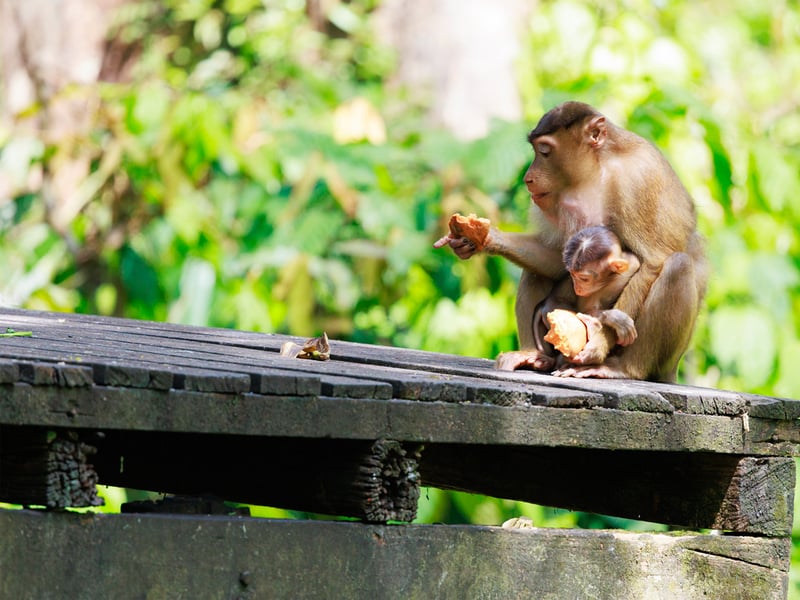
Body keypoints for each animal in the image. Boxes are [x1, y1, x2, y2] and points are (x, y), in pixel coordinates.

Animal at [435, 101, 707, 381]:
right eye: (536, 150)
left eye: (544, 152)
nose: (528, 177)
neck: (598, 169)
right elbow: (558, 258)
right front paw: (479, 237)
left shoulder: (639, 178)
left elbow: (654, 261)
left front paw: (599, 342)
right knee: (537, 271)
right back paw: (534, 355)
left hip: (663, 360)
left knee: (677, 266)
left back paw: (622, 369)